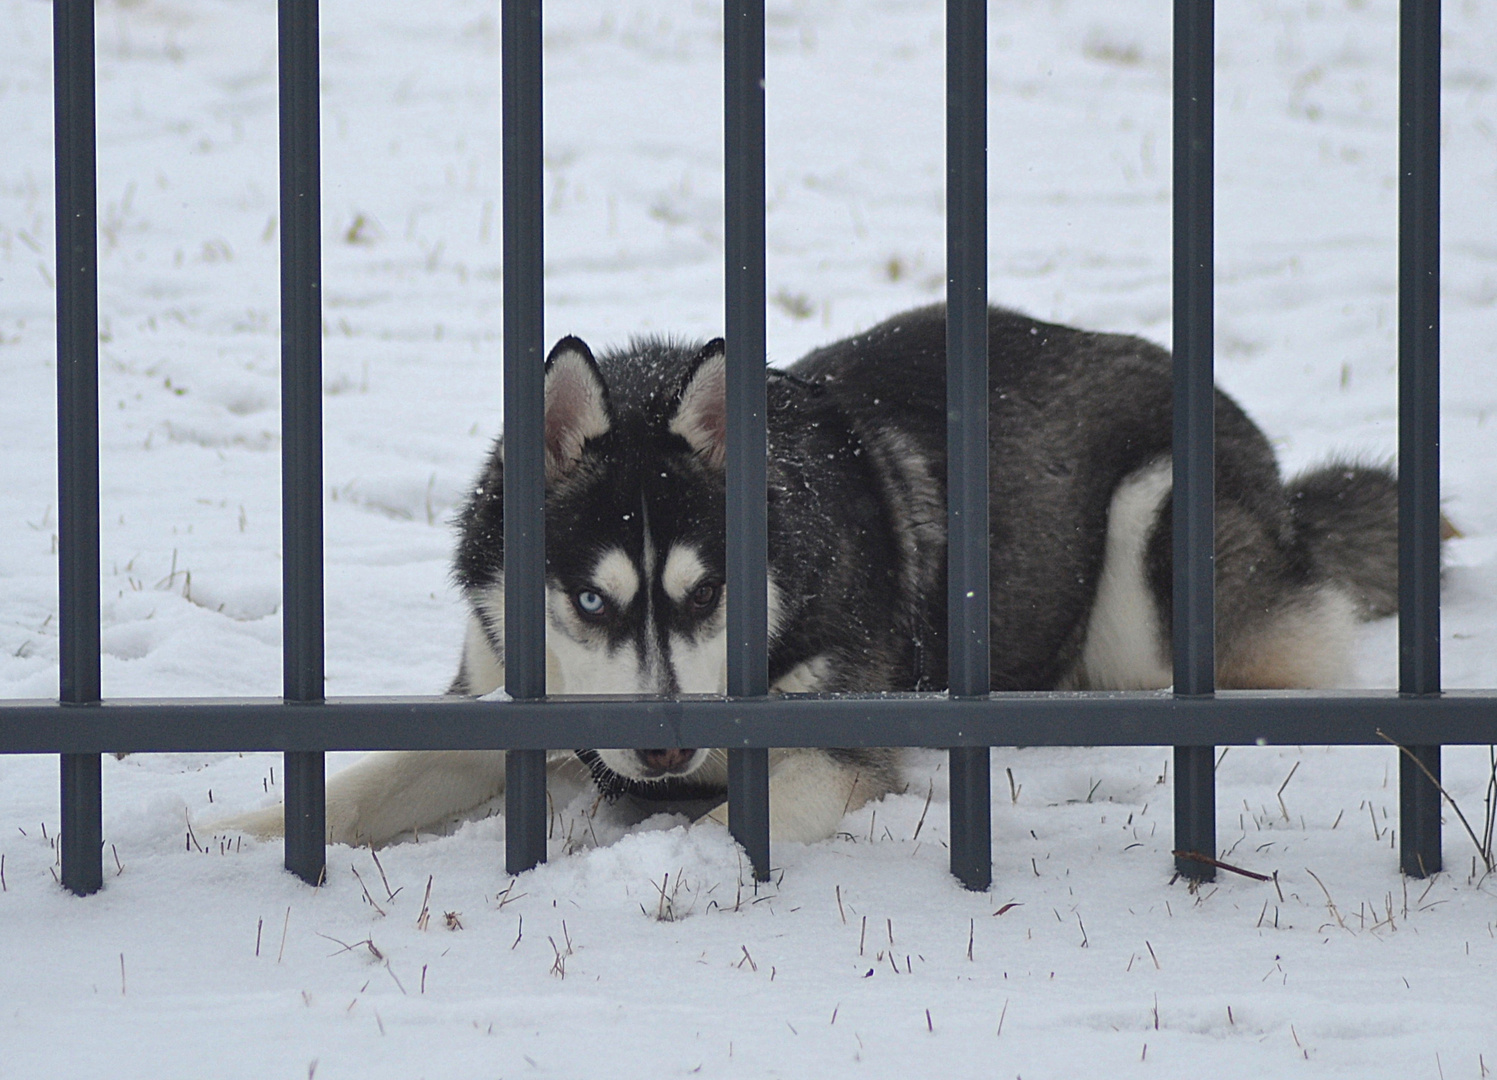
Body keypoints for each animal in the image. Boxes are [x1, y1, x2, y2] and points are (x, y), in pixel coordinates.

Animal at [224, 302, 1401, 850]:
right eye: (592, 600)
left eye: (705, 594)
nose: (667, 746)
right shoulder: (495, 705)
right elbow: (364, 781)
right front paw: (235, 833)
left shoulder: (834, 746)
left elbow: (729, 823)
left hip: (1147, 576)